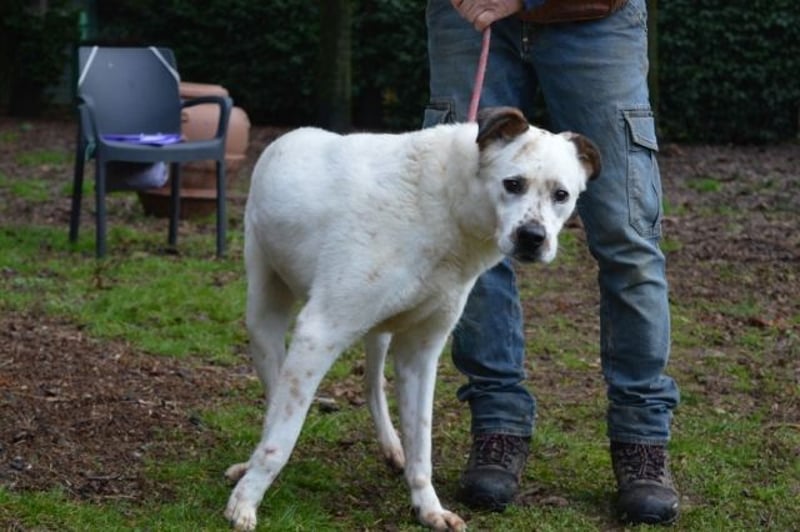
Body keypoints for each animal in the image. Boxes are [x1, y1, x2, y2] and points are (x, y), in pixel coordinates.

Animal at [224, 107, 600, 531]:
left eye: (561, 195)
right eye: (513, 183)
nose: (532, 238)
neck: (445, 207)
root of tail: (289, 136)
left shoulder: (420, 352)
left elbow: (421, 444)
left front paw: (428, 507)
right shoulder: (319, 332)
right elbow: (280, 439)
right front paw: (245, 501)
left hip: (378, 334)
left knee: (371, 385)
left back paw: (391, 447)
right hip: (263, 319)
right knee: (275, 400)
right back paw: (249, 467)